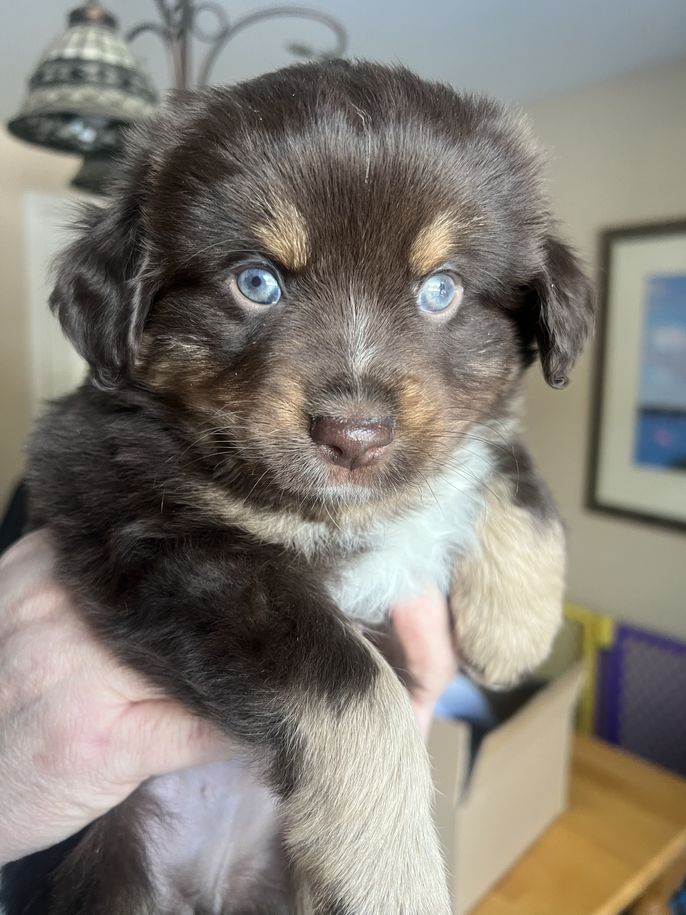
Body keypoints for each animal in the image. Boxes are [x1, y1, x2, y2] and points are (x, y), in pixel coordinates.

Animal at [2, 60, 593, 914]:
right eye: (257, 281)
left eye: (441, 289)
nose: (356, 434)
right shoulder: (146, 523)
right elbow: (354, 687)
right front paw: (394, 877)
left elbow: (492, 451)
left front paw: (516, 623)